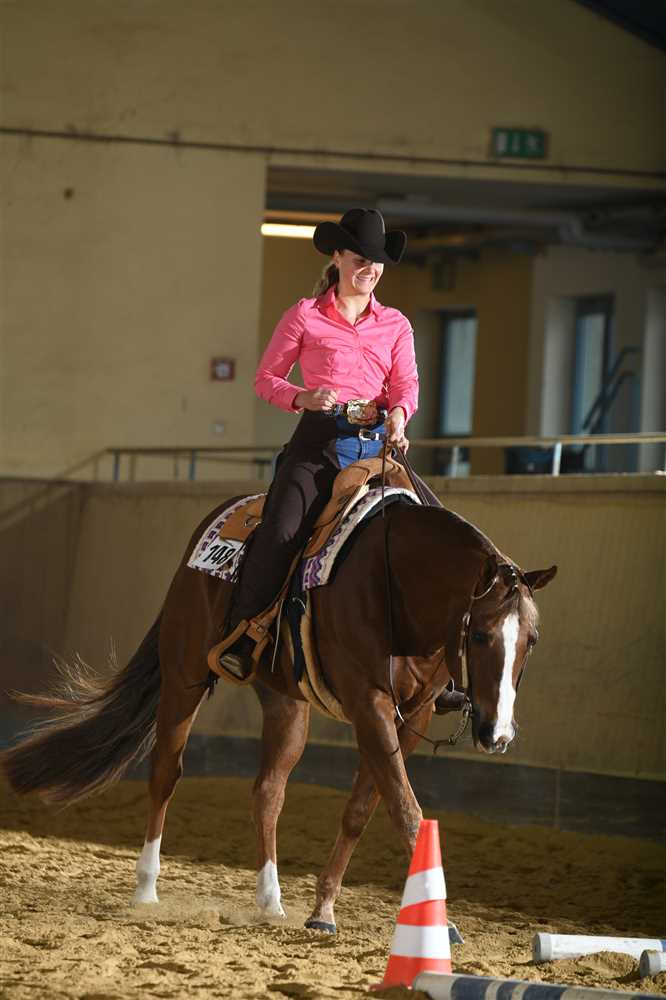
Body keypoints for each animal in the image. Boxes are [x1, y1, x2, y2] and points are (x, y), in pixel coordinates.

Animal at [2, 490, 556, 933]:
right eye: (480, 635)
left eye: (532, 639)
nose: (497, 732)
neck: (399, 585)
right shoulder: (370, 704)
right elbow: (406, 809)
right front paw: (441, 923)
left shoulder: (411, 717)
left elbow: (362, 809)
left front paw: (323, 910)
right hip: (184, 677)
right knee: (165, 773)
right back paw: (146, 888)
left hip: (287, 703)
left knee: (267, 792)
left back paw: (271, 900)